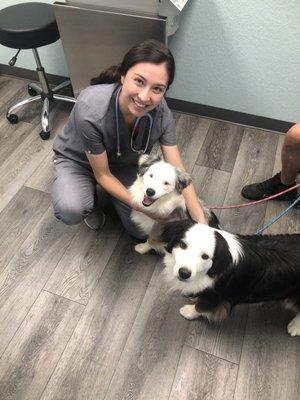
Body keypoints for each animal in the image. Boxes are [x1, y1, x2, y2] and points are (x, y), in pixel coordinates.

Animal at [162, 220, 300, 336]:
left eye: (205, 256)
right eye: (182, 245)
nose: (184, 273)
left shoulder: (217, 296)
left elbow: (200, 306)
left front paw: (189, 312)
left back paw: (295, 327)